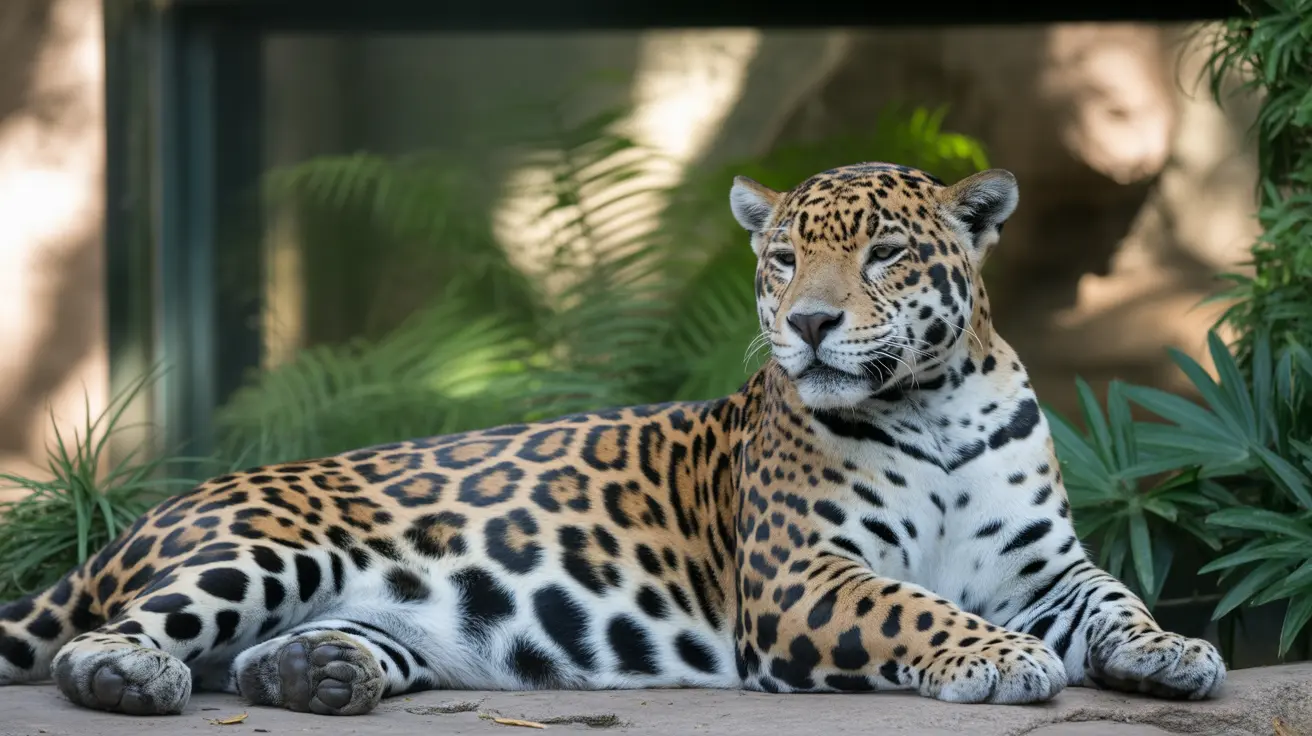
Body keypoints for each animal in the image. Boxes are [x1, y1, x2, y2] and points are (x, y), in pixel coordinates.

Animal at [0, 162, 1225, 717]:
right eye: (783, 259)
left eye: (883, 252)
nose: (809, 324)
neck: (936, 403)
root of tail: (139, 520)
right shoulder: (799, 578)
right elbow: (912, 604)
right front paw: (1000, 657)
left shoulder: (1046, 567)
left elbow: (1115, 598)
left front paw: (1173, 651)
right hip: (260, 549)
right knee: (94, 644)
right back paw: (135, 677)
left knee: (259, 658)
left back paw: (319, 671)